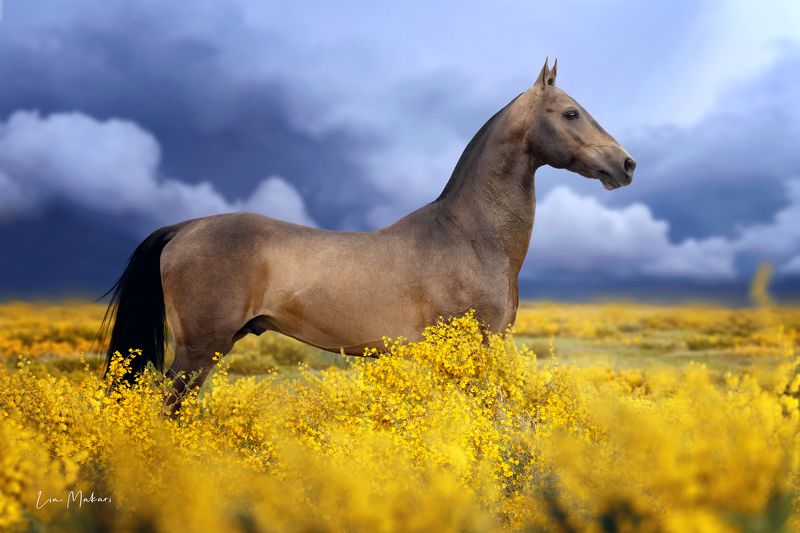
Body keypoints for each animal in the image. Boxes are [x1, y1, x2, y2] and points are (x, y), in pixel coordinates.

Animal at [100, 58, 635, 401]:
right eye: (571, 112)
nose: (626, 164)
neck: (471, 237)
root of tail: (184, 228)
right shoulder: (473, 351)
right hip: (198, 350)